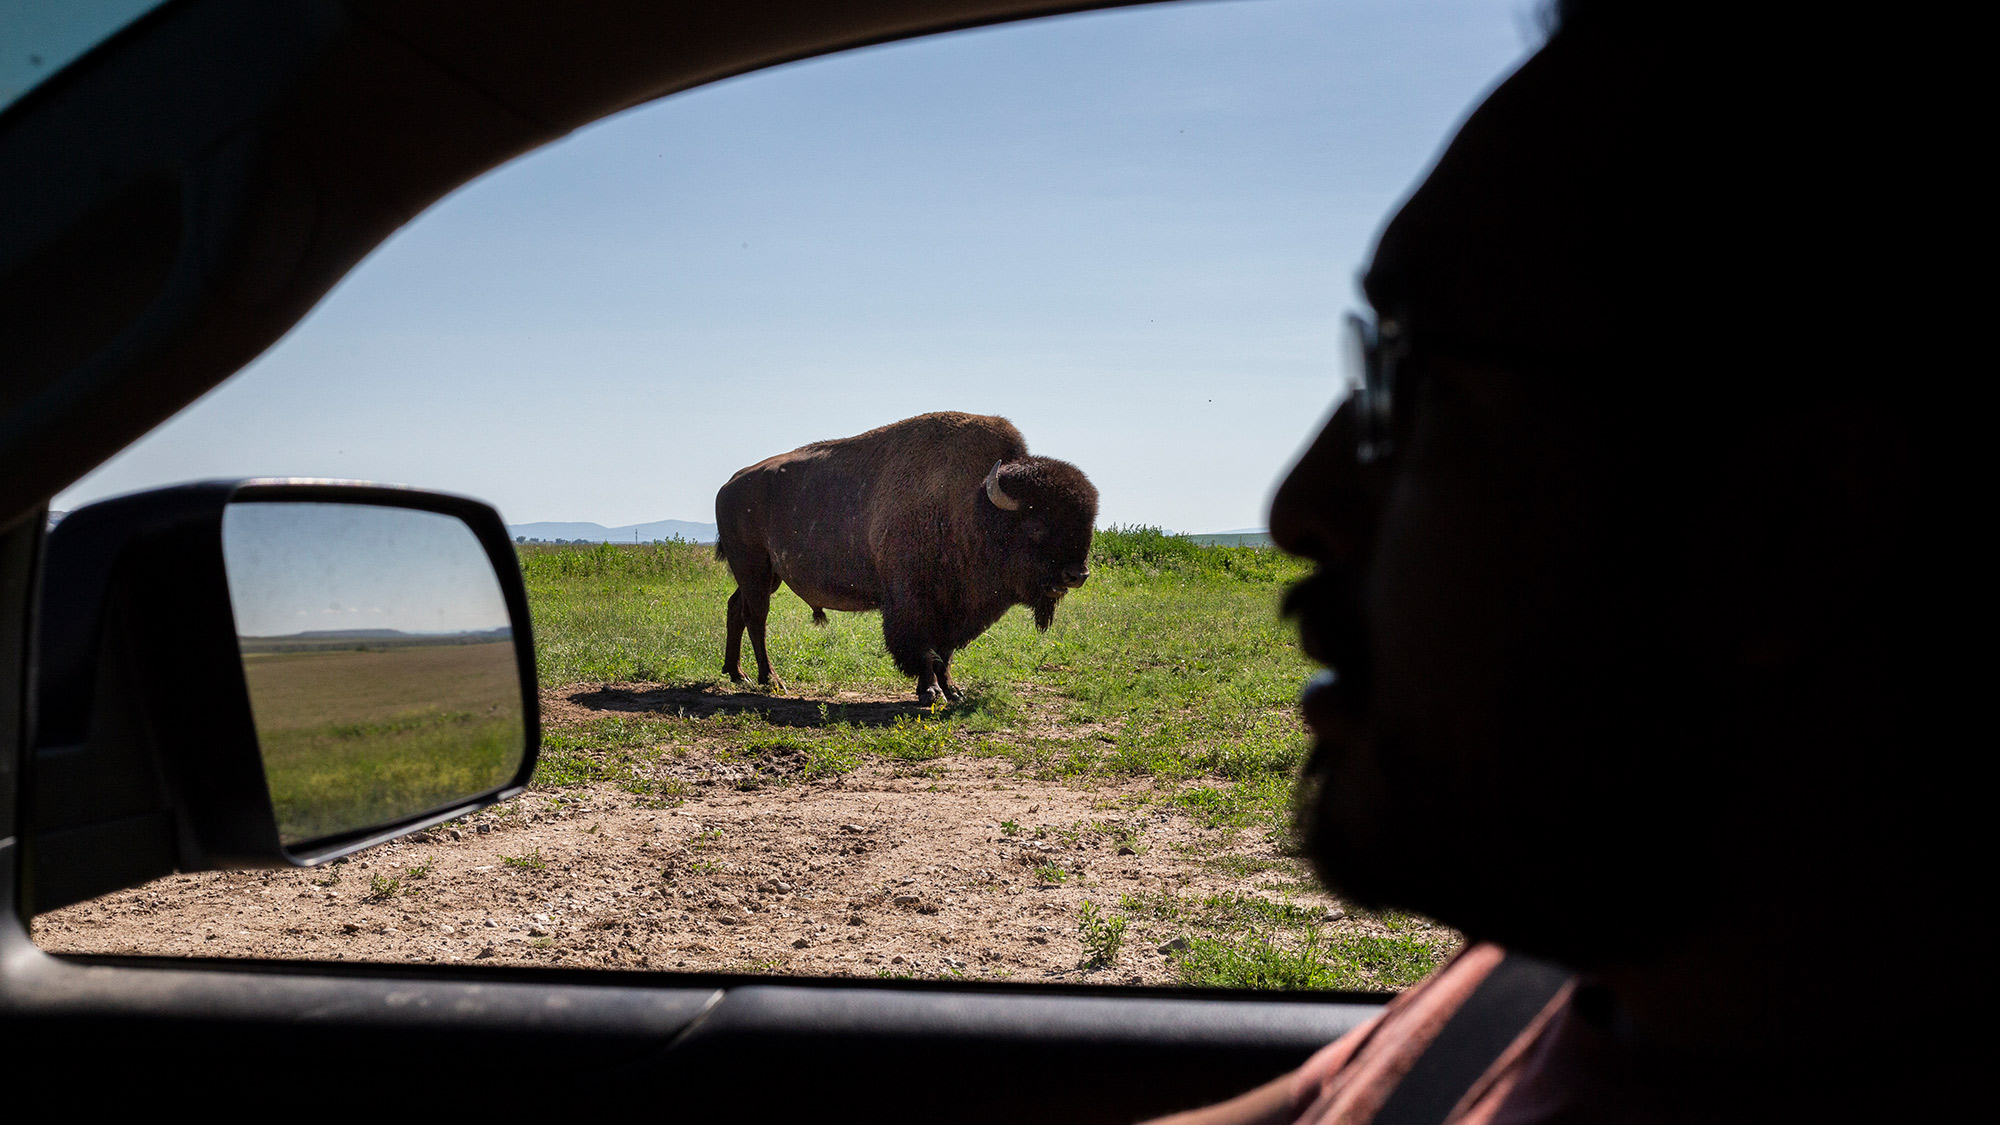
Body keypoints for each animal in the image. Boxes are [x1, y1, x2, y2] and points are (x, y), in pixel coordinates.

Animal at [716, 412, 1104, 700]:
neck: (972, 505)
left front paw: (953, 690)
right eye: (1036, 524)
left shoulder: (954, 610)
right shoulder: (912, 602)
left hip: (768, 575)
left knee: (736, 609)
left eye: (1087, 521)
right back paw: (770, 680)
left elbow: (945, 651)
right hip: (753, 567)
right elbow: (923, 648)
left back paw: (736, 674)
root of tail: (729, 484)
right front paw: (931, 691)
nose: (1077, 575)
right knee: (756, 617)